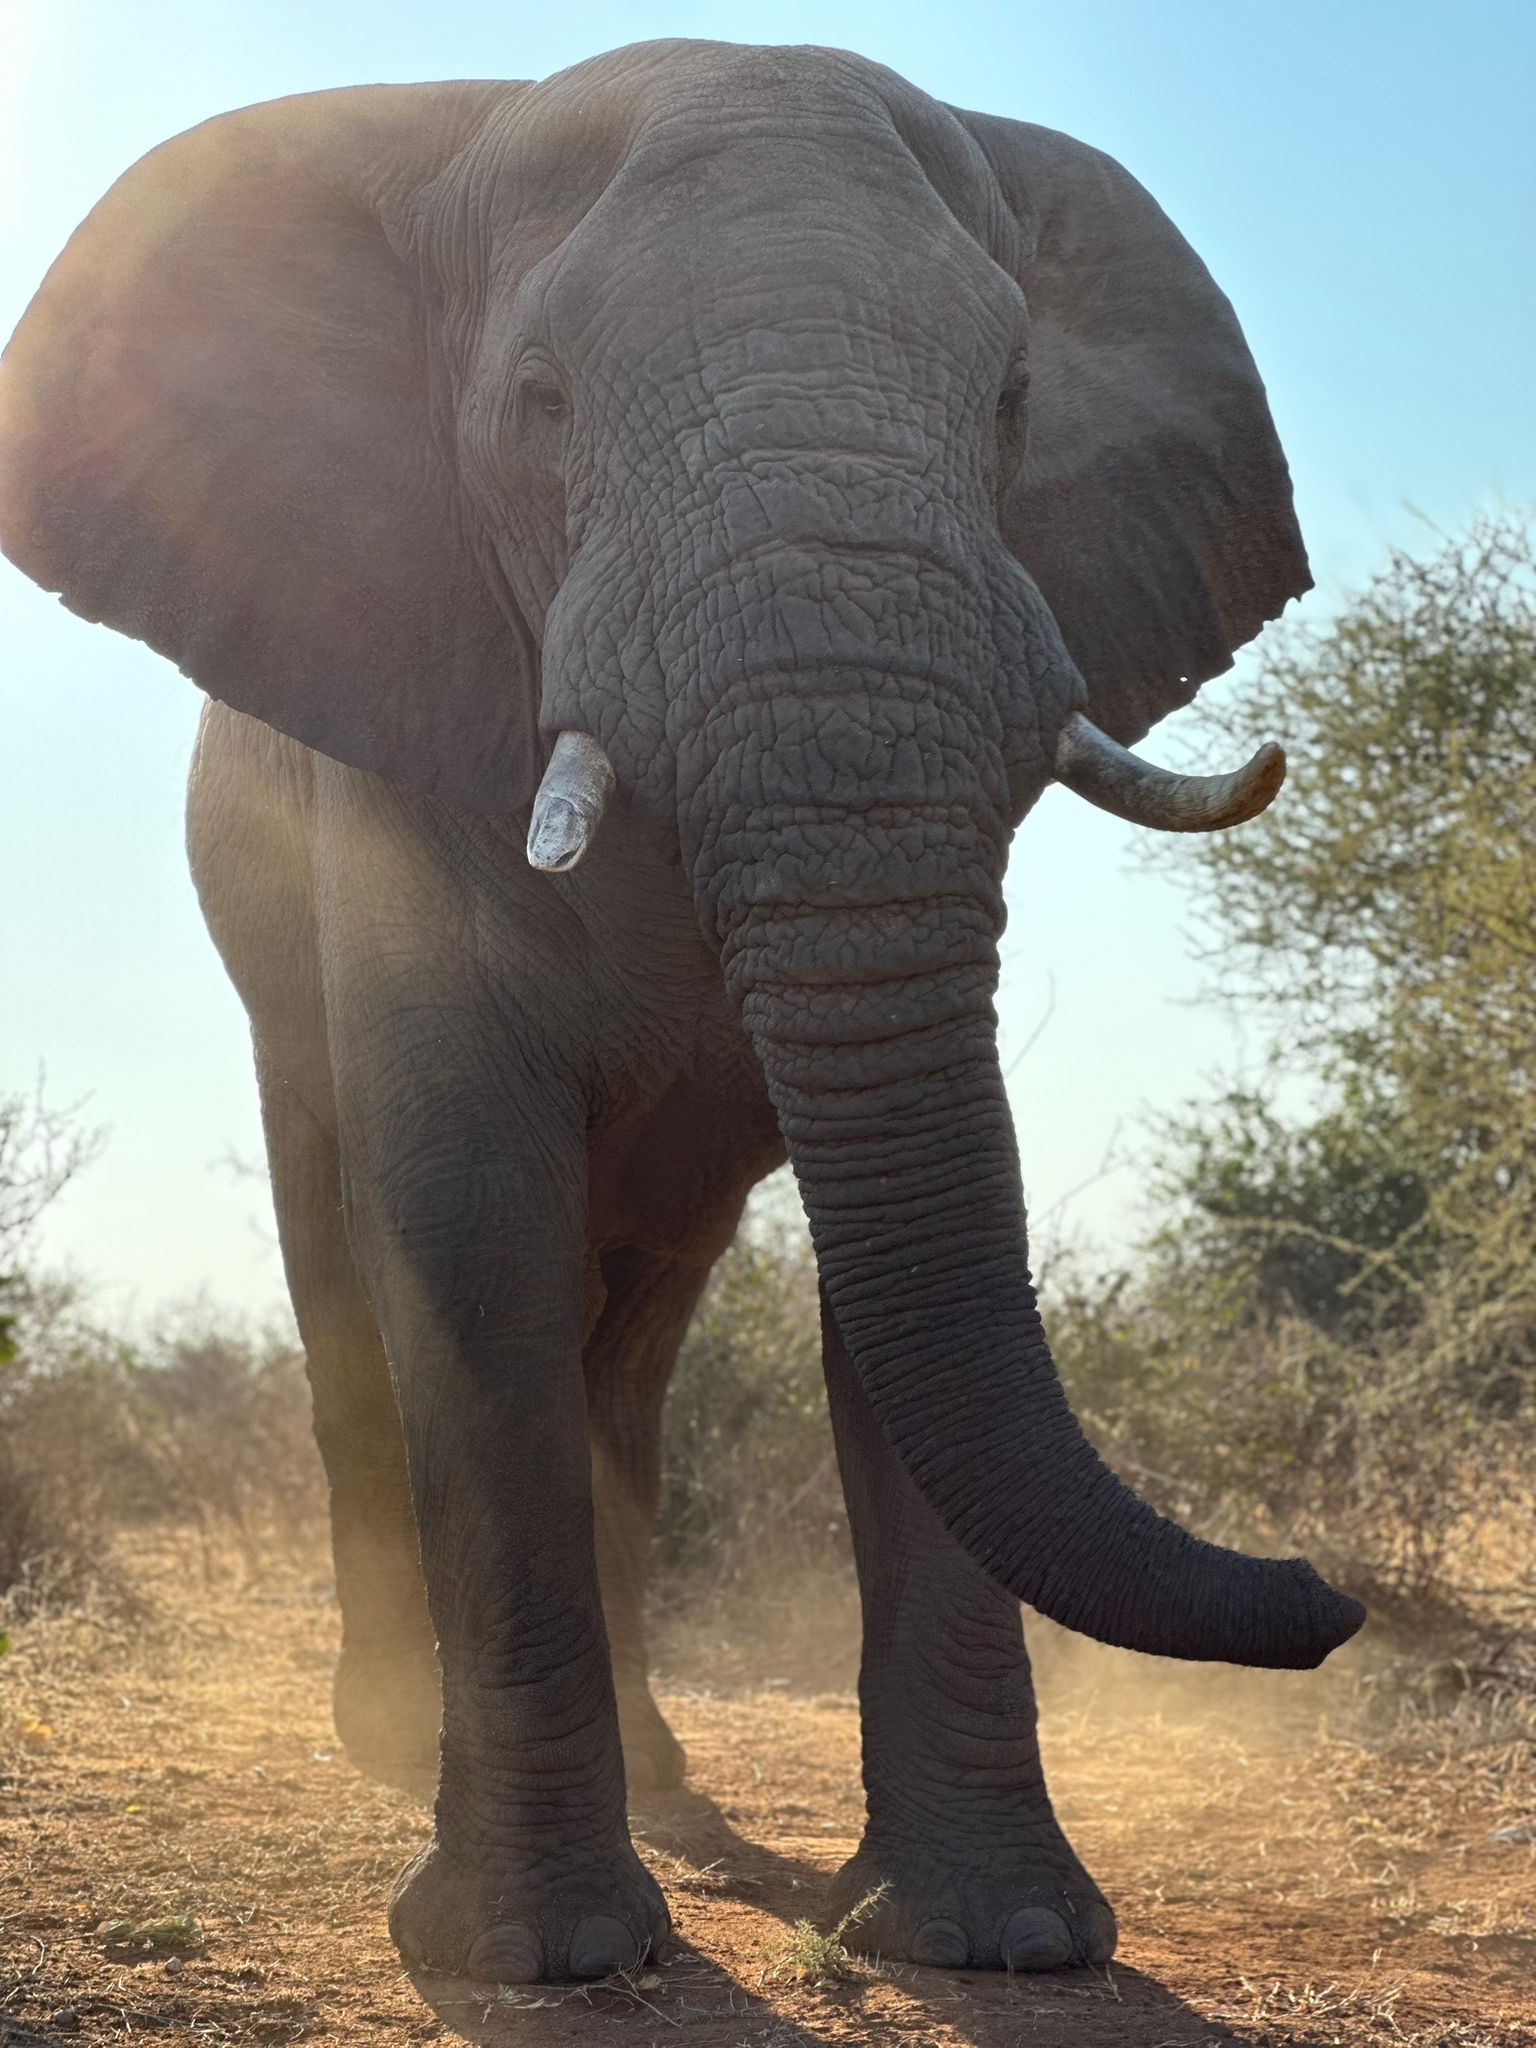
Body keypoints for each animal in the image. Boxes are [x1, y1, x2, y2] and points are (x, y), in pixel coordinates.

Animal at [0, 38, 1363, 1986]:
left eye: (1015, 397)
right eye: (541, 400)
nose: (1333, 1588)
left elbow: (923, 1236)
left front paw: (1005, 1940)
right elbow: (470, 1231)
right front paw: (539, 1957)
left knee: (632, 1341)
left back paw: (652, 1771)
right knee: (355, 1276)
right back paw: (387, 1737)